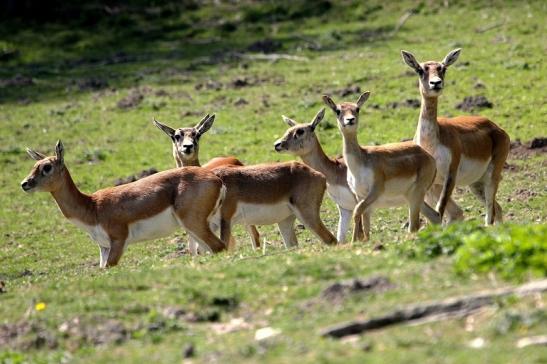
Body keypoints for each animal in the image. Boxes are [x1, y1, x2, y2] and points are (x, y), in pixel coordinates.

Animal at [21, 139, 227, 268]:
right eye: (34, 166)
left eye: (47, 167)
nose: (25, 184)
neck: (92, 208)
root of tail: (216, 179)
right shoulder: (103, 247)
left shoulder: (118, 241)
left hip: (194, 223)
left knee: (219, 247)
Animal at [274, 108, 368, 245]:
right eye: (288, 129)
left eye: (300, 131)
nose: (277, 144)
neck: (336, 171)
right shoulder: (344, 208)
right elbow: (341, 237)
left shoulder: (357, 202)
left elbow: (359, 234)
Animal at [324, 91, 444, 242]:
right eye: (338, 110)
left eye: (357, 108)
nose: (350, 120)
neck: (360, 163)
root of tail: (429, 157)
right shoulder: (360, 195)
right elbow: (364, 224)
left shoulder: (375, 191)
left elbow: (356, 212)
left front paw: (353, 241)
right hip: (412, 196)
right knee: (435, 216)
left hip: (416, 195)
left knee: (414, 226)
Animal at [400, 48, 512, 225]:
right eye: (420, 70)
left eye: (443, 68)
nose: (436, 83)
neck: (431, 143)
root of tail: (497, 128)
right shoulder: (432, 185)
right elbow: (440, 215)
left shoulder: (450, 176)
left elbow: (439, 211)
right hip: (475, 183)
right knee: (495, 209)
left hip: (491, 177)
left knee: (490, 213)